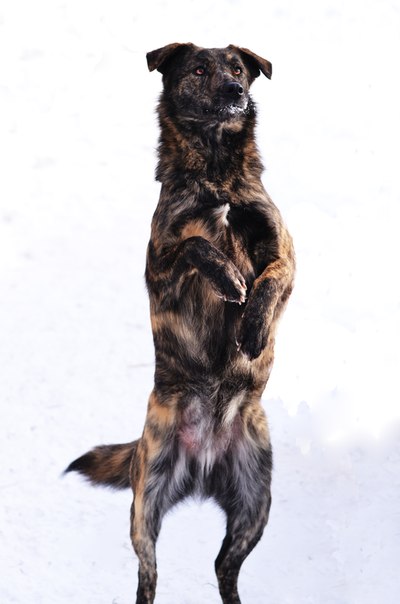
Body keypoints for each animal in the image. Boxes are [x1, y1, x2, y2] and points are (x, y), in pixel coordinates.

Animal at [66, 43, 295, 604]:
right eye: (197, 69)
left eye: (237, 69)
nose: (235, 92)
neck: (215, 166)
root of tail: (202, 466)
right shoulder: (160, 272)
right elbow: (197, 243)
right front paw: (229, 276)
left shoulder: (287, 253)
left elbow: (269, 281)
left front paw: (252, 327)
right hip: (145, 506)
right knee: (148, 574)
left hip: (255, 504)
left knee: (223, 567)